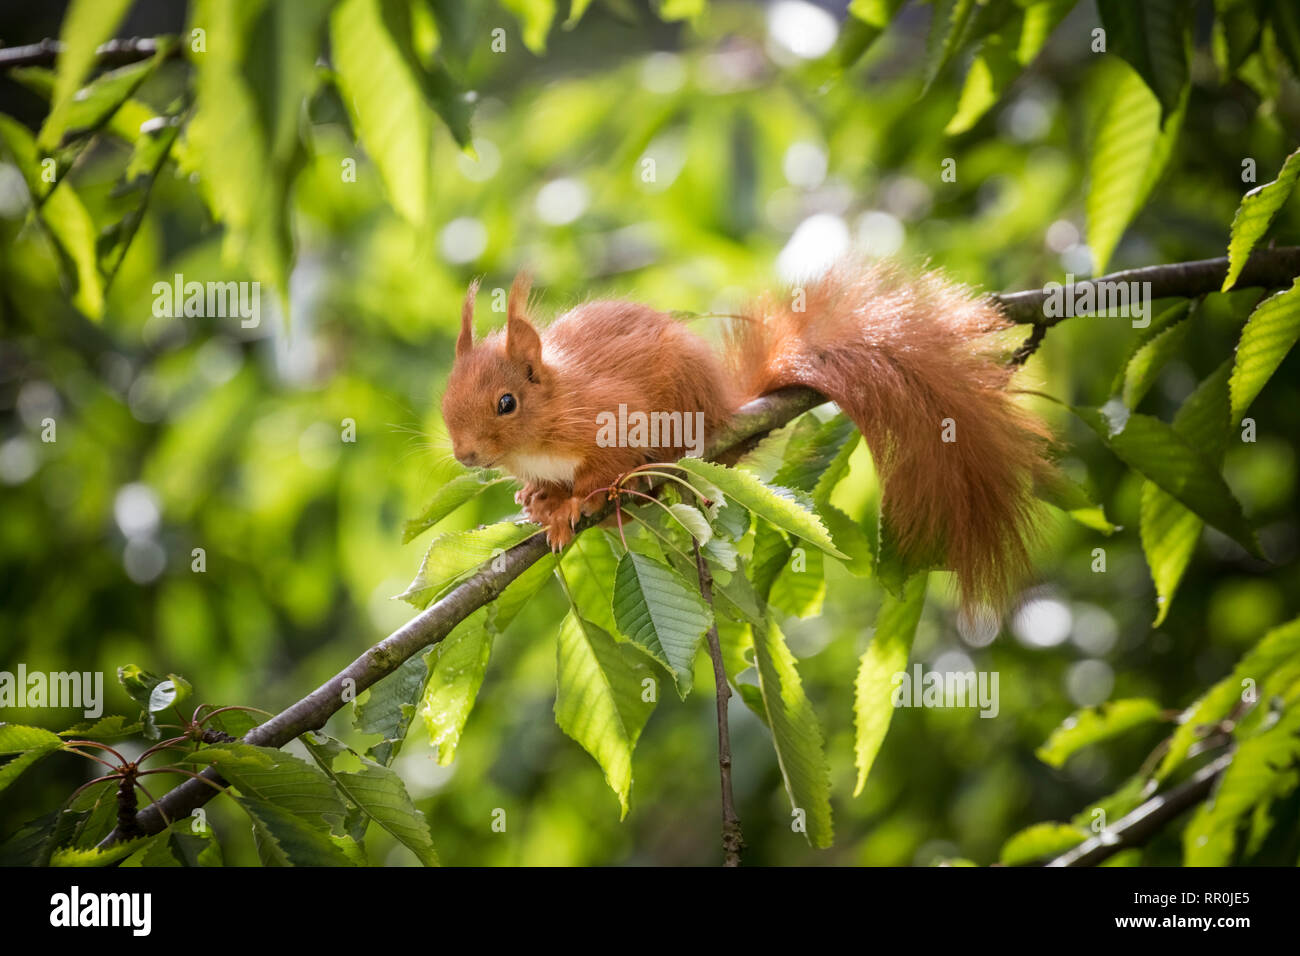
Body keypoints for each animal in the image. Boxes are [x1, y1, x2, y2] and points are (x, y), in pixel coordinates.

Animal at [441, 258, 1054, 612]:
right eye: (446, 399)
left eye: (506, 403)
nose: (466, 455)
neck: (542, 431)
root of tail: (723, 405)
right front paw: (541, 500)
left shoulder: (613, 414)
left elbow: (601, 469)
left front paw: (575, 503)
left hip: (684, 408)